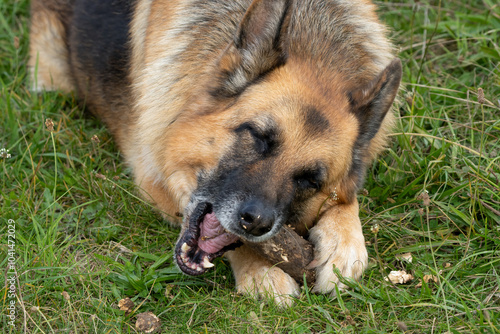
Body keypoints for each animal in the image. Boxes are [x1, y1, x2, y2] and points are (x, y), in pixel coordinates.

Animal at [29, 0, 400, 306]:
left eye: (310, 181)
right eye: (258, 137)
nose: (256, 223)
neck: (314, 46)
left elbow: (347, 200)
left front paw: (344, 243)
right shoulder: (156, 177)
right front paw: (259, 270)